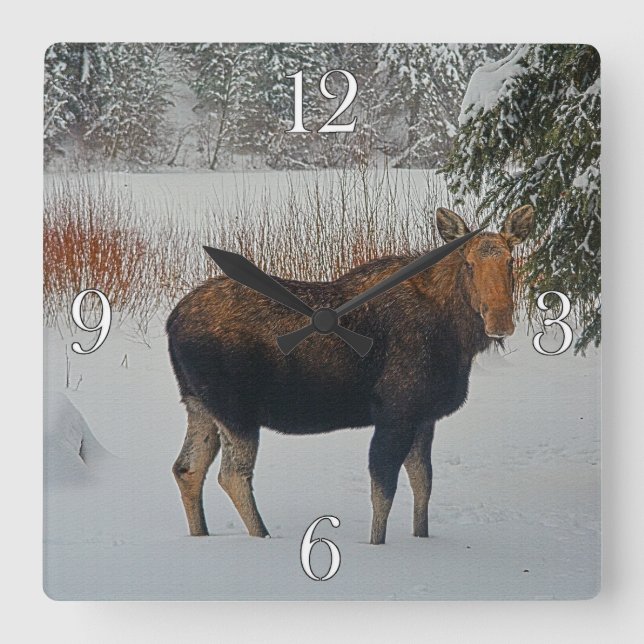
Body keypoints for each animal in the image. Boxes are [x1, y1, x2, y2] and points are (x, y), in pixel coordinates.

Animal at [167, 205, 534, 544]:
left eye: (510, 262)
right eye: (469, 264)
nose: (500, 320)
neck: (457, 339)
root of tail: (172, 322)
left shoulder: (424, 414)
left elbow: (423, 482)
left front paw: (422, 537)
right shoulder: (396, 412)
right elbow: (383, 490)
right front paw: (377, 544)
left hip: (199, 404)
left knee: (187, 468)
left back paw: (201, 535)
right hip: (236, 410)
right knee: (231, 475)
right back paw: (262, 536)